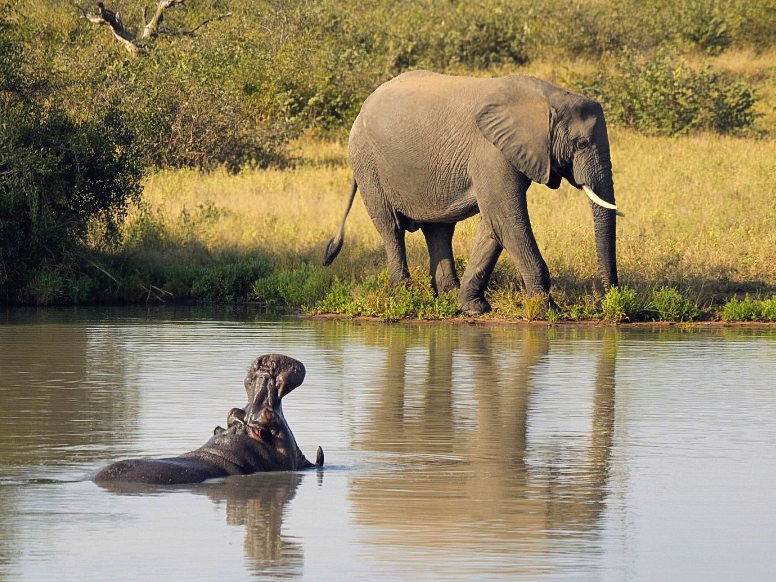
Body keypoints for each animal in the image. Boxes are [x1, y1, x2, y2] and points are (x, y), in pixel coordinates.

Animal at [323, 70, 621, 314]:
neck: (547, 97)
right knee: (391, 228)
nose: (604, 304)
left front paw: (472, 308)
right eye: (581, 144)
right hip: (367, 162)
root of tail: (363, 106)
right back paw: (404, 296)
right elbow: (507, 220)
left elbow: (494, 224)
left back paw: (446, 296)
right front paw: (548, 311)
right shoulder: (491, 152)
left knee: (439, 229)